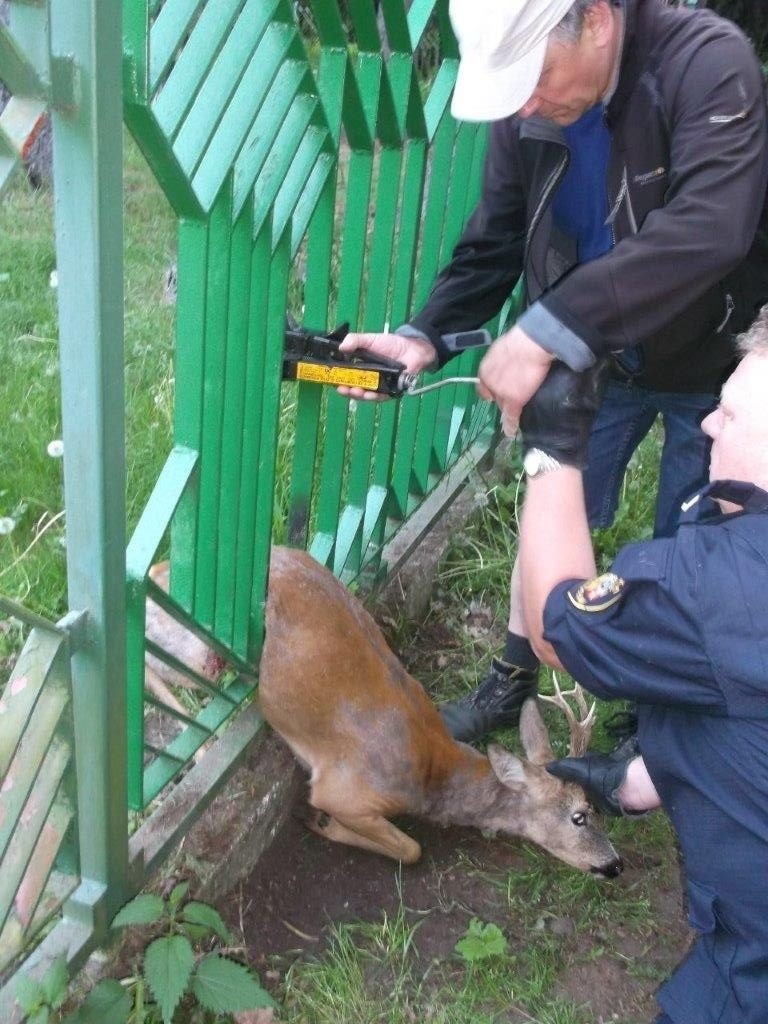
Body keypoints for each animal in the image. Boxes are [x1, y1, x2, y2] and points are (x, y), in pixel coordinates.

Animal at [259, 548, 626, 876]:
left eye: (595, 807)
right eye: (579, 816)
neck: (431, 780)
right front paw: (318, 819)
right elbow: (412, 849)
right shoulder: (343, 792)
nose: (615, 865)